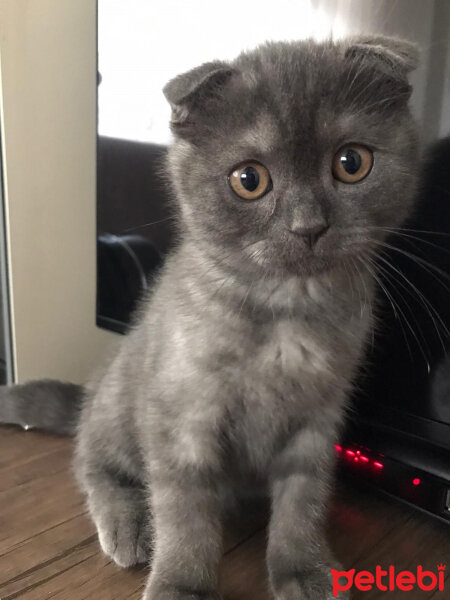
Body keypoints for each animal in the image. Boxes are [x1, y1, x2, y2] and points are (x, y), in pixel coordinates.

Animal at [1, 37, 420, 600]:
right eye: (249, 180)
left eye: (352, 162)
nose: (308, 226)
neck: (285, 310)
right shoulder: (183, 418)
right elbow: (185, 513)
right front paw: (181, 583)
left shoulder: (319, 418)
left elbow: (303, 502)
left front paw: (303, 569)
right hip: (117, 406)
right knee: (93, 463)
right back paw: (128, 525)